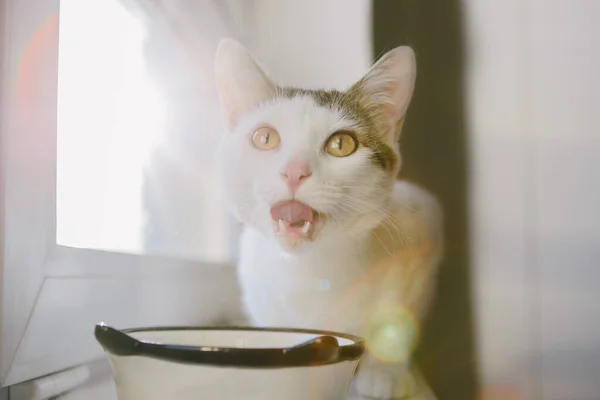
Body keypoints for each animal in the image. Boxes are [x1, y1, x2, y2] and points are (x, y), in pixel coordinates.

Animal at [213, 38, 442, 400]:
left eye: (341, 144)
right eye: (264, 138)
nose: (294, 171)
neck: (309, 269)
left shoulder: (423, 233)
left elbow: (397, 319)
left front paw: (383, 371)